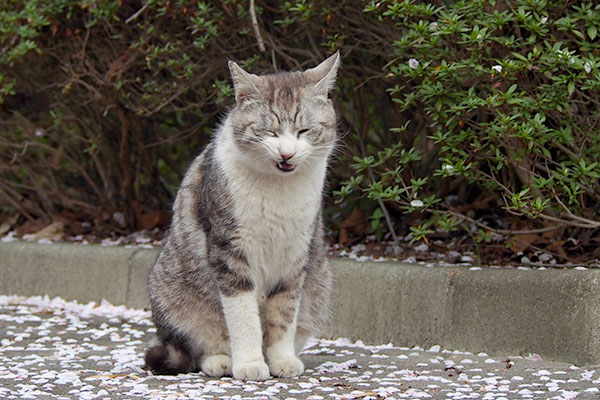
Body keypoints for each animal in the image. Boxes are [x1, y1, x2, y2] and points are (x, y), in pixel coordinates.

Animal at [144, 51, 340, 380]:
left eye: (303, 131)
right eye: (269, 131)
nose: (287, 154)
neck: (279, 189)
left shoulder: (295, 253)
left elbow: (284, 312)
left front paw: (281, 359)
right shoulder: (230, 250)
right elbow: (243, 316)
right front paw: (249, 363)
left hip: (321, 282)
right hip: (171, 291)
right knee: (197, 344)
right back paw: (220, 360)